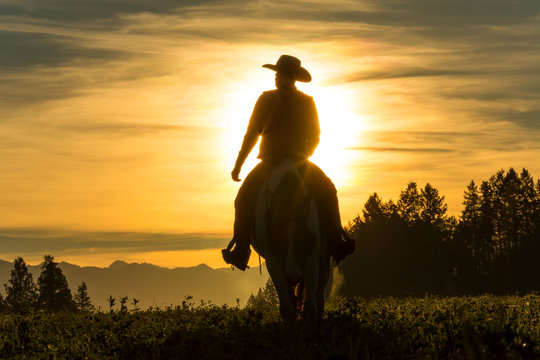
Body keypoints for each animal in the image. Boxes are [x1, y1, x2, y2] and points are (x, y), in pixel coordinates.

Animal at [251, 159, 332, 322]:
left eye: (303, 234)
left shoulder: (312, 255)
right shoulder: (272, 258)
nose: (293, 276)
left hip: (324, 259)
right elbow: (285, 300)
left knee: (320, 291)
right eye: (276, 235)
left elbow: (311, 305)